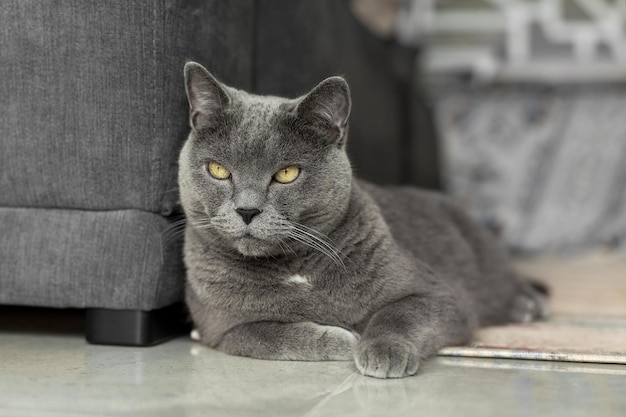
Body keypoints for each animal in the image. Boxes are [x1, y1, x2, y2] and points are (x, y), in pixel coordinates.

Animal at [177, 61, 544, 376]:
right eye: (218, 170)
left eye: (286, 174)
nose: (247, 210)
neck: (294, 269)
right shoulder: (220, 329)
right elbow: (272, 335)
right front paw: (342, 338)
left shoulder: (439, 295)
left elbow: (399, 314)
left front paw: (382, 350)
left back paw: (526, 307)